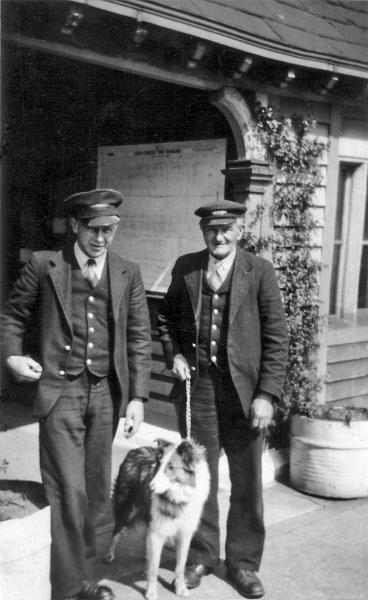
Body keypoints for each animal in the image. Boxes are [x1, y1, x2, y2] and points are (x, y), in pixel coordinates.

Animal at [105, 438, 211, 596]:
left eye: (171, 467)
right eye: (159, 465)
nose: (151, 487)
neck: (177, 495)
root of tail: (136, 449)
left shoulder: (185, 534)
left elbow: (180, 566)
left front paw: (181, 588)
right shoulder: (158, 532)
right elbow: (154, 568)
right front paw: (151, 592)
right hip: (126, 508)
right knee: (116, 531)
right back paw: (110, 554)